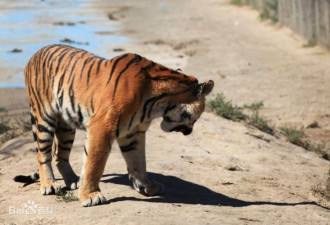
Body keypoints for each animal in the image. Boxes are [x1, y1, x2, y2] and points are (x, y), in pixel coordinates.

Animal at [14, 44, 214, 207]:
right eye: (195, 119)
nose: (189, 132)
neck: (156, 103)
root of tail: (34, 55)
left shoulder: (133, 133)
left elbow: (138, 162)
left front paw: (147, 187)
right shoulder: (102, 127)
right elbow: (94, 164)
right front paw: (90, 196)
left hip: (66, 126)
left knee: (59, 155)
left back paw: (73, 181)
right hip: (43, 118)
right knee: (43, 154)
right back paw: (49, 185)